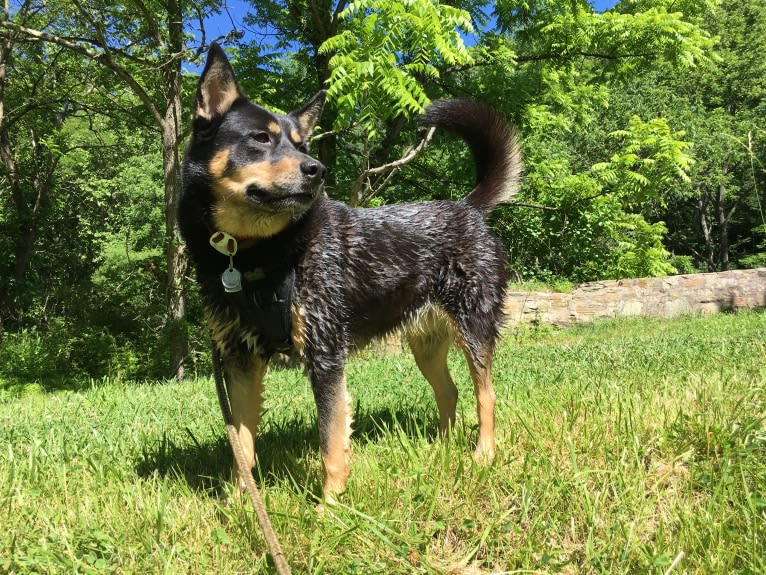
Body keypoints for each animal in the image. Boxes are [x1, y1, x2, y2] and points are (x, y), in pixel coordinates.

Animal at [182, 44, 520, 504]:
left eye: (301, 143)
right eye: (260, 138)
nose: (316, 169)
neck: (256, 253)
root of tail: (468, 207)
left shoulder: (326, 355)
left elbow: (331, 441)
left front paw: (329, 506)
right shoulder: (239, 360)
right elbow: (243, 444)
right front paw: (241, 502)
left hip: (474, 327)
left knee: (487, 394)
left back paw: (482, 454)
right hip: (426, 343)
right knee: (448, 392)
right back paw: (442, 448)